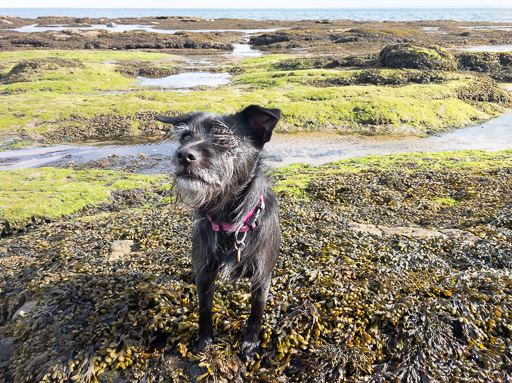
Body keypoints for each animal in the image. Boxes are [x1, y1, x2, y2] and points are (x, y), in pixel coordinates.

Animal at [156, 105, 282, 364]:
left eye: (224, 140)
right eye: (185, 137)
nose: (183, 155)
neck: (228, 220)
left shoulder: (262, 278)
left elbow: (256, 314)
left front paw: (250, 345)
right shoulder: (204, 273)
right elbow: (204, 311)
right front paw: (204, 343)